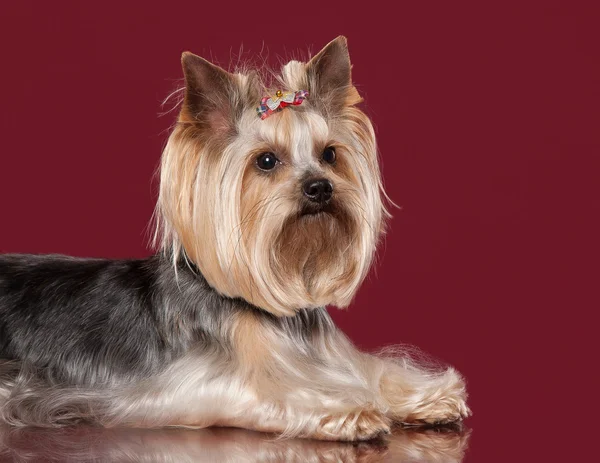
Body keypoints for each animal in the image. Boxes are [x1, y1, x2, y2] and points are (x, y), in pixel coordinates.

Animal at [0, 37, 468, 442]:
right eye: (266, 161)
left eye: (330, 154)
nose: (320, 187)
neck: (271, 309)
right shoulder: (196, 385)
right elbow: (274, 390)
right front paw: (347, 409)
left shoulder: (331, 355)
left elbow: (369, 371)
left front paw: (427, 397)